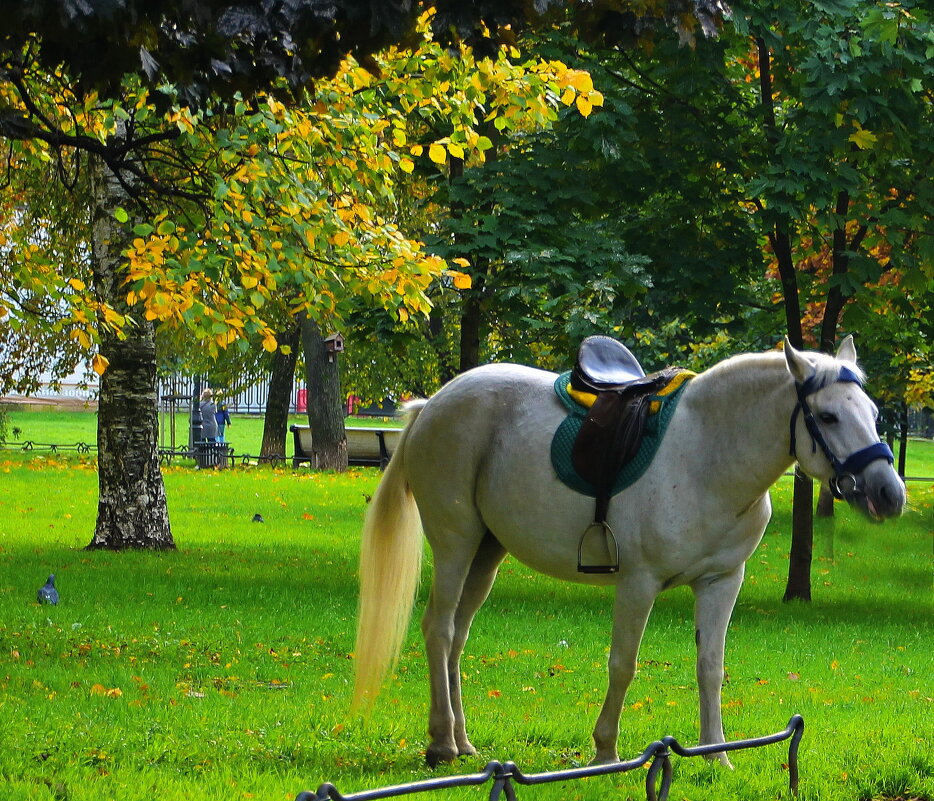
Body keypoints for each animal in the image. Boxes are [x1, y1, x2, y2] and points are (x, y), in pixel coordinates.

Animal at [352, 336, 908, 764]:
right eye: (829, 416)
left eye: (874, 413)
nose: (889, 493)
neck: (708, 453)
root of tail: (434, 403)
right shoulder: (639, 583)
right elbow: (623, 663)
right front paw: (605, 751)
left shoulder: (721, 582)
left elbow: (711, 667)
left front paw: (716, 756)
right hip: (456, 542)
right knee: (439, 628)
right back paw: (441, 743)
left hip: (487, 552)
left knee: (458, 637)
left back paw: (462, 742)